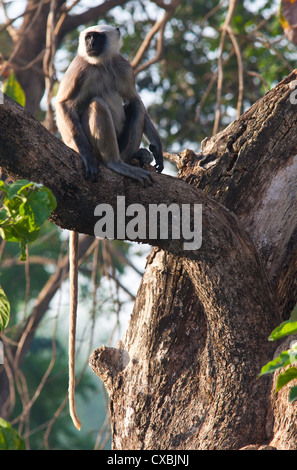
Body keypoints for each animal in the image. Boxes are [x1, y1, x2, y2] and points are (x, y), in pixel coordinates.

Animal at [54, 24, 163, 430]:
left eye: (98, 36)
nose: (88, 42)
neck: (100, 63)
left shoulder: (124, 66)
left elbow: (134, 97)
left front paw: (157, 146)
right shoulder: (79, 67)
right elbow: (65, 105)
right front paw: (86, 158)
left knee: (134, 106)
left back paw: (136, 157)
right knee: (96, 105)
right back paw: (114, 163)